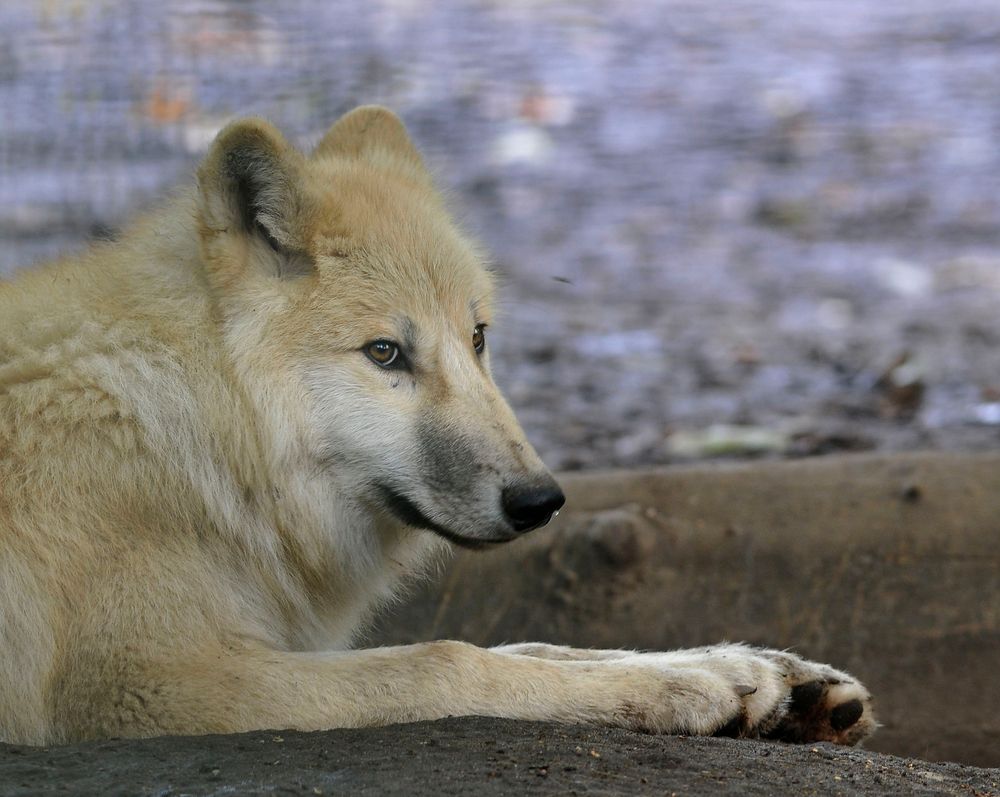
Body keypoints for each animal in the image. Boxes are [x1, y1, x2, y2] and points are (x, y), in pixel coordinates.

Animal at [0, 107, 876, 748]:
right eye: (386, 352)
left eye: (479, 337)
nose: (541, 500)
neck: (193, 426)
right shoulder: (148, 687)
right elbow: (447, 661)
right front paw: (678, 686)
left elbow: (534, 647)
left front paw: (752, 673)